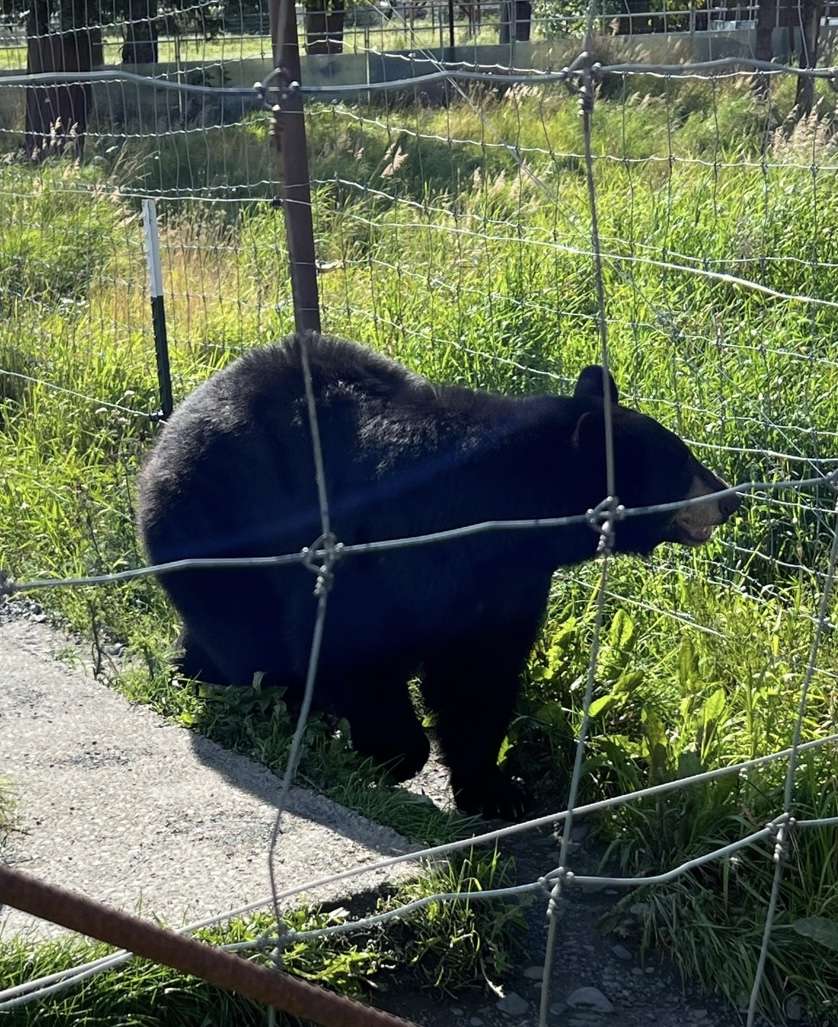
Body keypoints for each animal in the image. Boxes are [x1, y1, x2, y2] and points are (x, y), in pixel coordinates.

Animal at [136, 331, 740, 818]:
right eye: (680, 465)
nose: (730, 498)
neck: (500, 512)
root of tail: (180, 416)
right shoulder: (386, 544)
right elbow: (349, 639)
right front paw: (388, 757)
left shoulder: (506, 581)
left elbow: (479, 675)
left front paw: (494, 792)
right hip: (216, 520)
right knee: (249, 632)